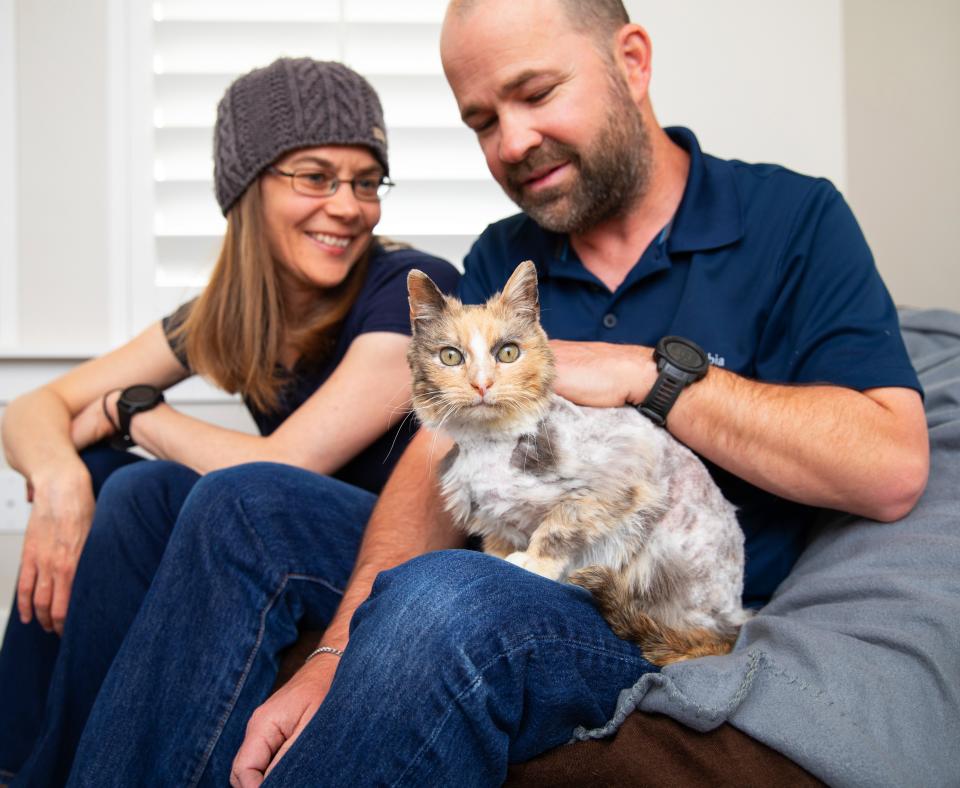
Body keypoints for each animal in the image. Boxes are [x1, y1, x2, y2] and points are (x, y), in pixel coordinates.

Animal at [404, 260, 752, 664]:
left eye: (508, 353)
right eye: (450, 356)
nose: (481, 384)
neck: (489, 446)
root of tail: (733, 625)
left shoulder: (622, 469)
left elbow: (560, 524)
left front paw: (533, 563)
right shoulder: (495, 523)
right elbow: (499, 546)